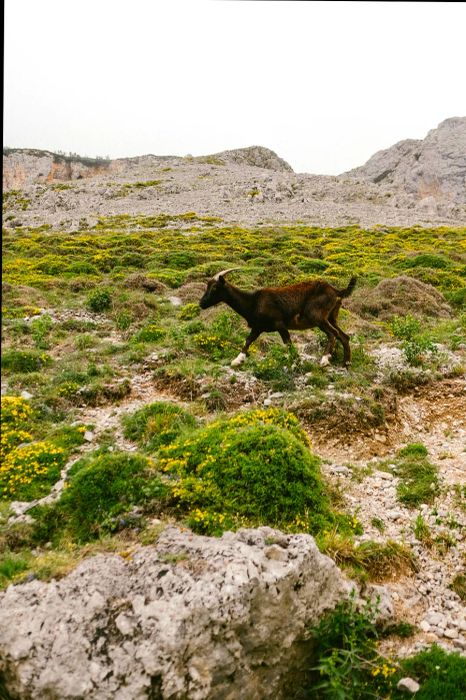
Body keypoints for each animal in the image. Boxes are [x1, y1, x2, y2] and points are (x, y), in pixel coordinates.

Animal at [198, 266, 356, 366]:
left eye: (215, 287)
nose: (202, 303)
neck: (253, 302)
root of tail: (336, 291)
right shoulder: (258, 327)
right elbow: (248, 340)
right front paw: (237, 360)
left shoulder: (279, 324)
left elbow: (288, 342)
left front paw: (295, 361)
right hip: (331, 317)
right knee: (344, 336)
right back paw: (346, 362)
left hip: (317, 317)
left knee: (333, 334)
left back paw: (324, 360)